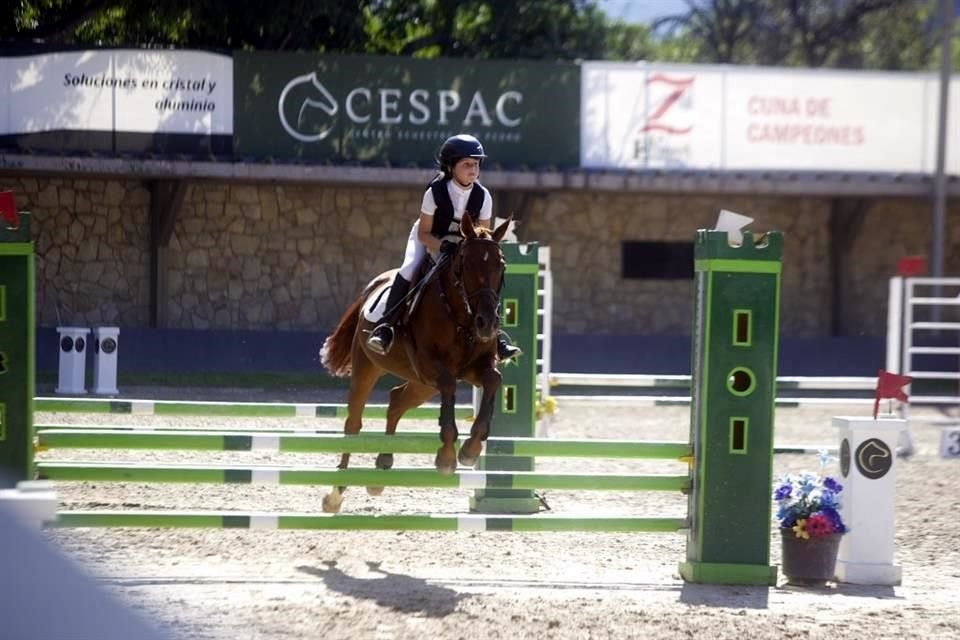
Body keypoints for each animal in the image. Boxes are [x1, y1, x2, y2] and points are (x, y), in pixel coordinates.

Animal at [318, 212, 512, 512]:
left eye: (500, 265)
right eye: (466, 264)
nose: (487, 323)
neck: (460, 316)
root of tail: (373, 286)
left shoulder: (474, 369)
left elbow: (494, 380)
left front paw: (471, 449)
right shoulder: (432, 367)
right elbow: (449, 387)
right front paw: (446, 457)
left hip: (422, 385)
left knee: (396, 401)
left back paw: (382, 467)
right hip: (368, 367)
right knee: (353, 424)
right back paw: (336, 494)